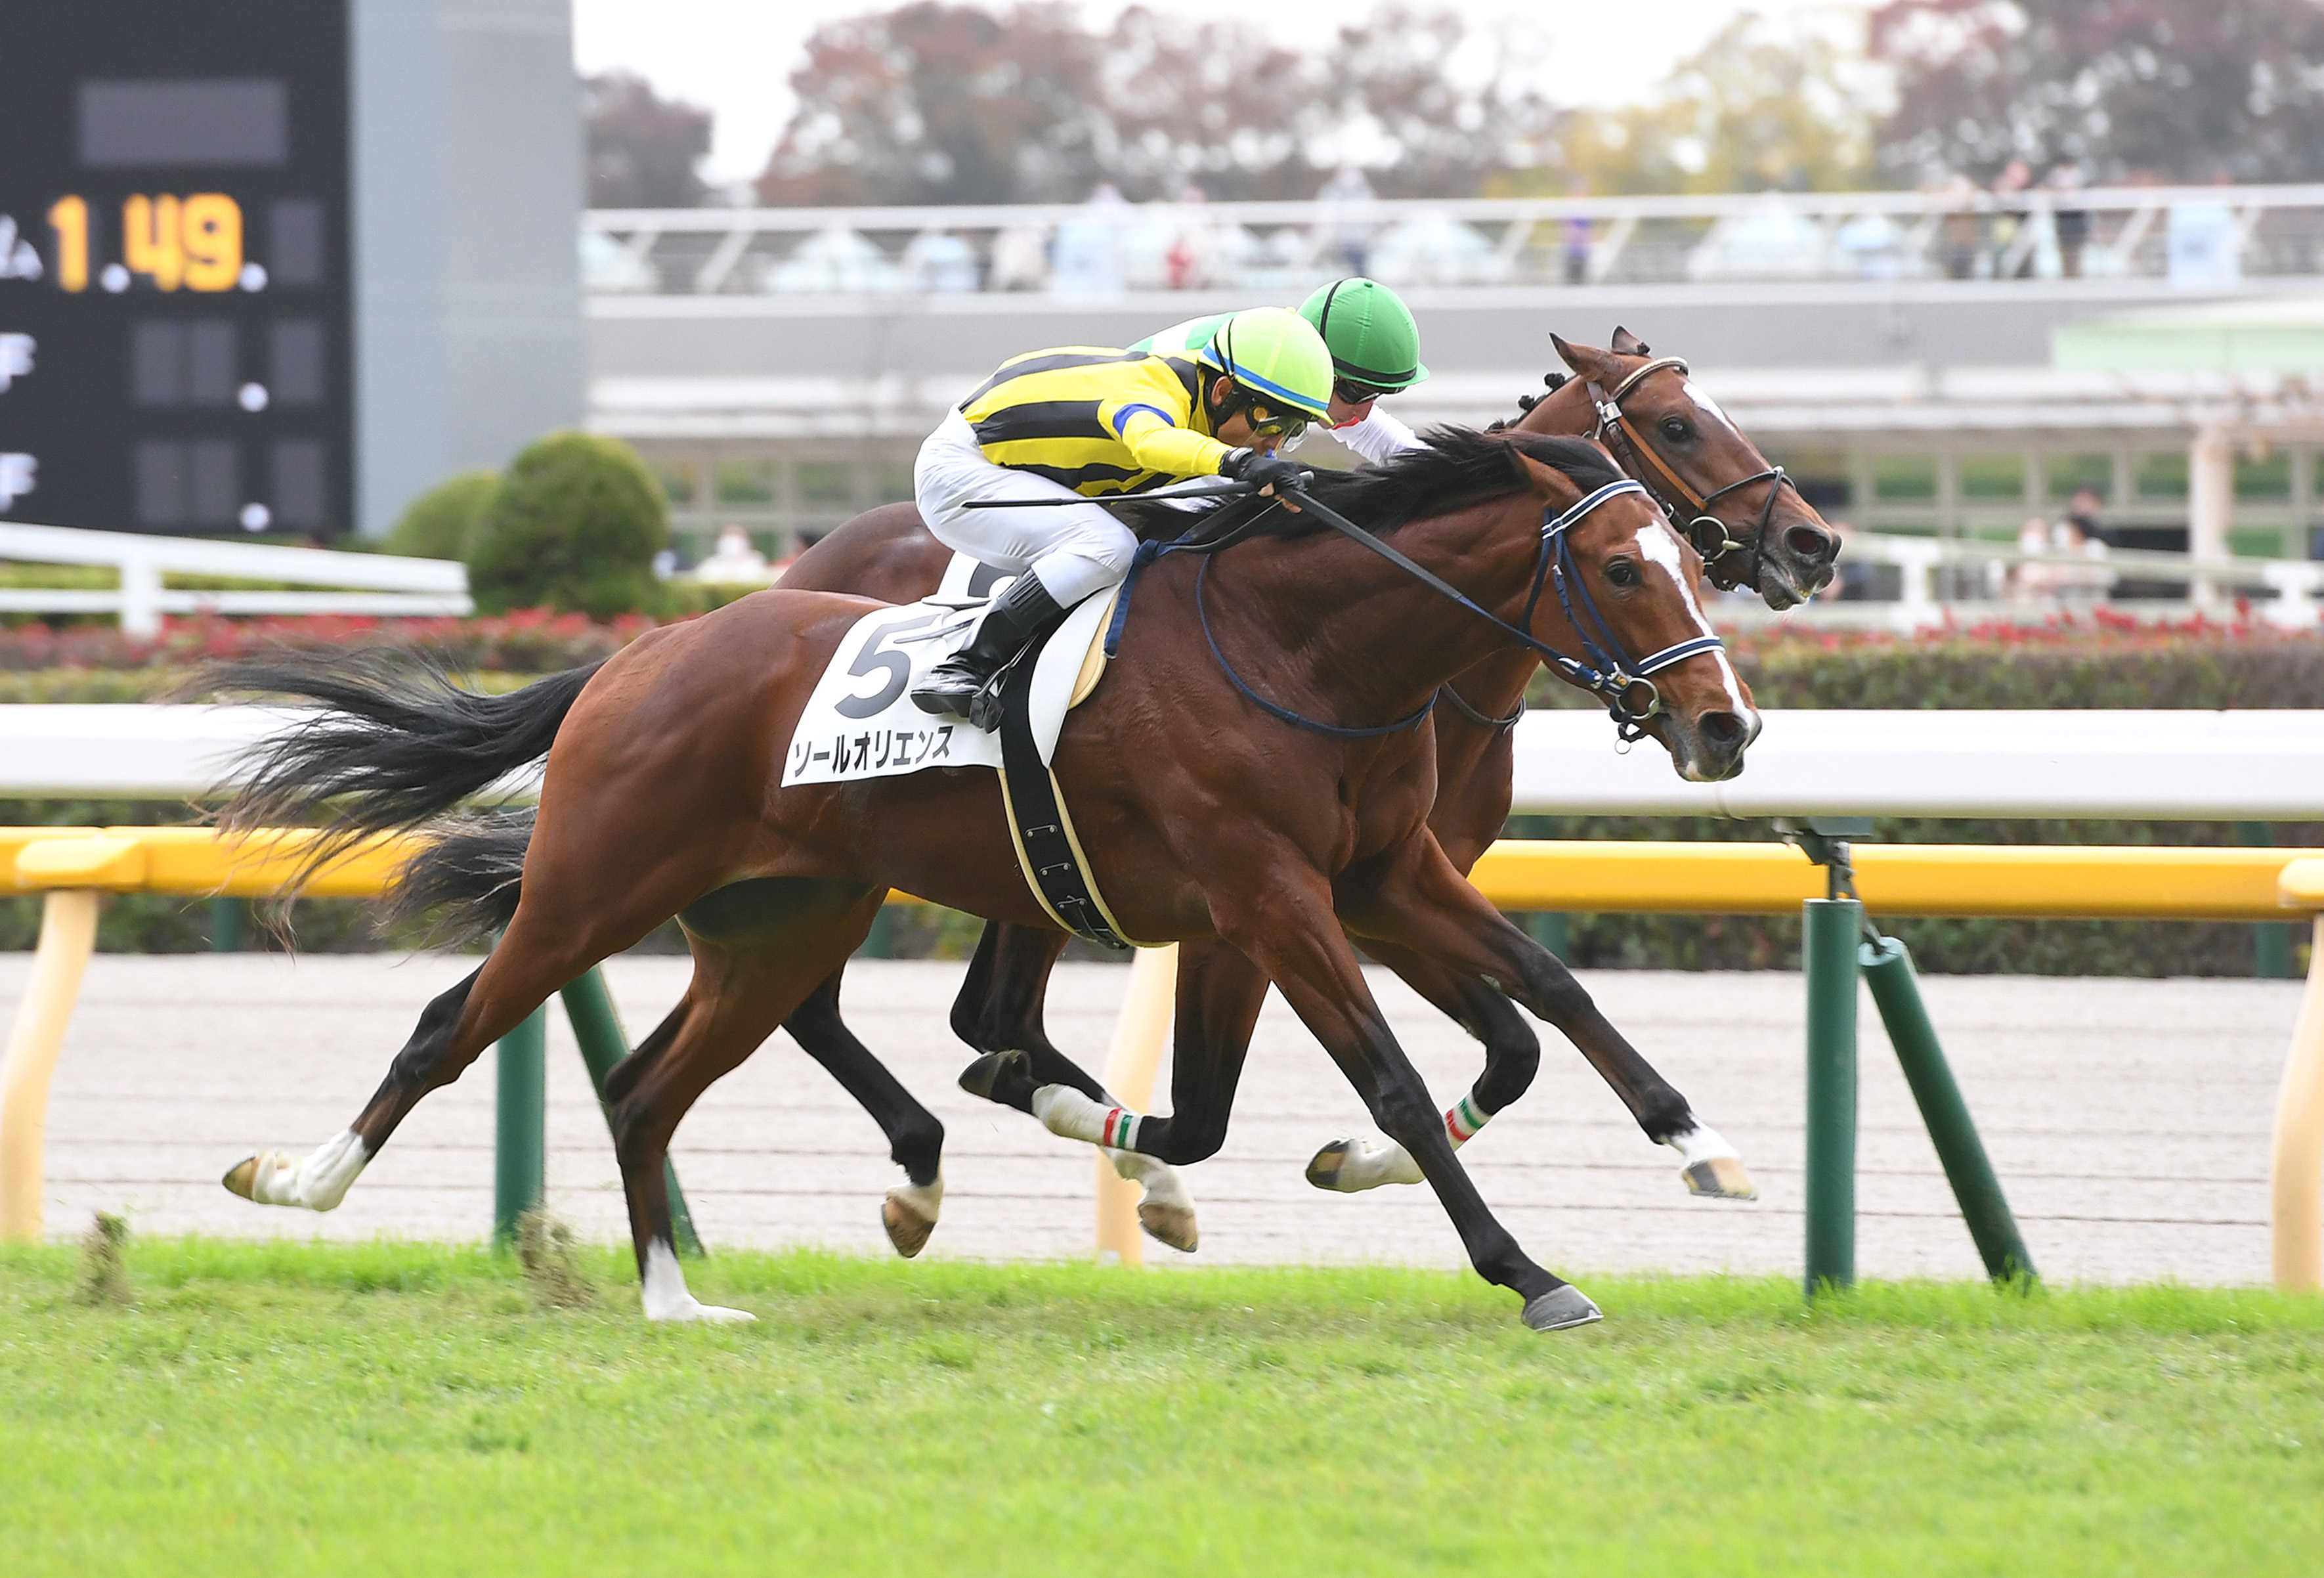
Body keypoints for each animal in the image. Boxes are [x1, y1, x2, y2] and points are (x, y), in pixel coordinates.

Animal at [222, 432, 1757, 1329]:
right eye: (1624, 568)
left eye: (1693, 562)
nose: (1727, 725)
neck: (1308, 649)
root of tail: (636, 653)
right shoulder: (1269, 893)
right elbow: (1382, 1075)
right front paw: (1531, 1274)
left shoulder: (1381, 872)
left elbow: (1545, 992)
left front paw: (1702, 1145)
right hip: (592, 887)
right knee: (451, 1025)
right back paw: (298, 1180)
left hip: (777, 922)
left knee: (650, 1085)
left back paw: (676, 1298)